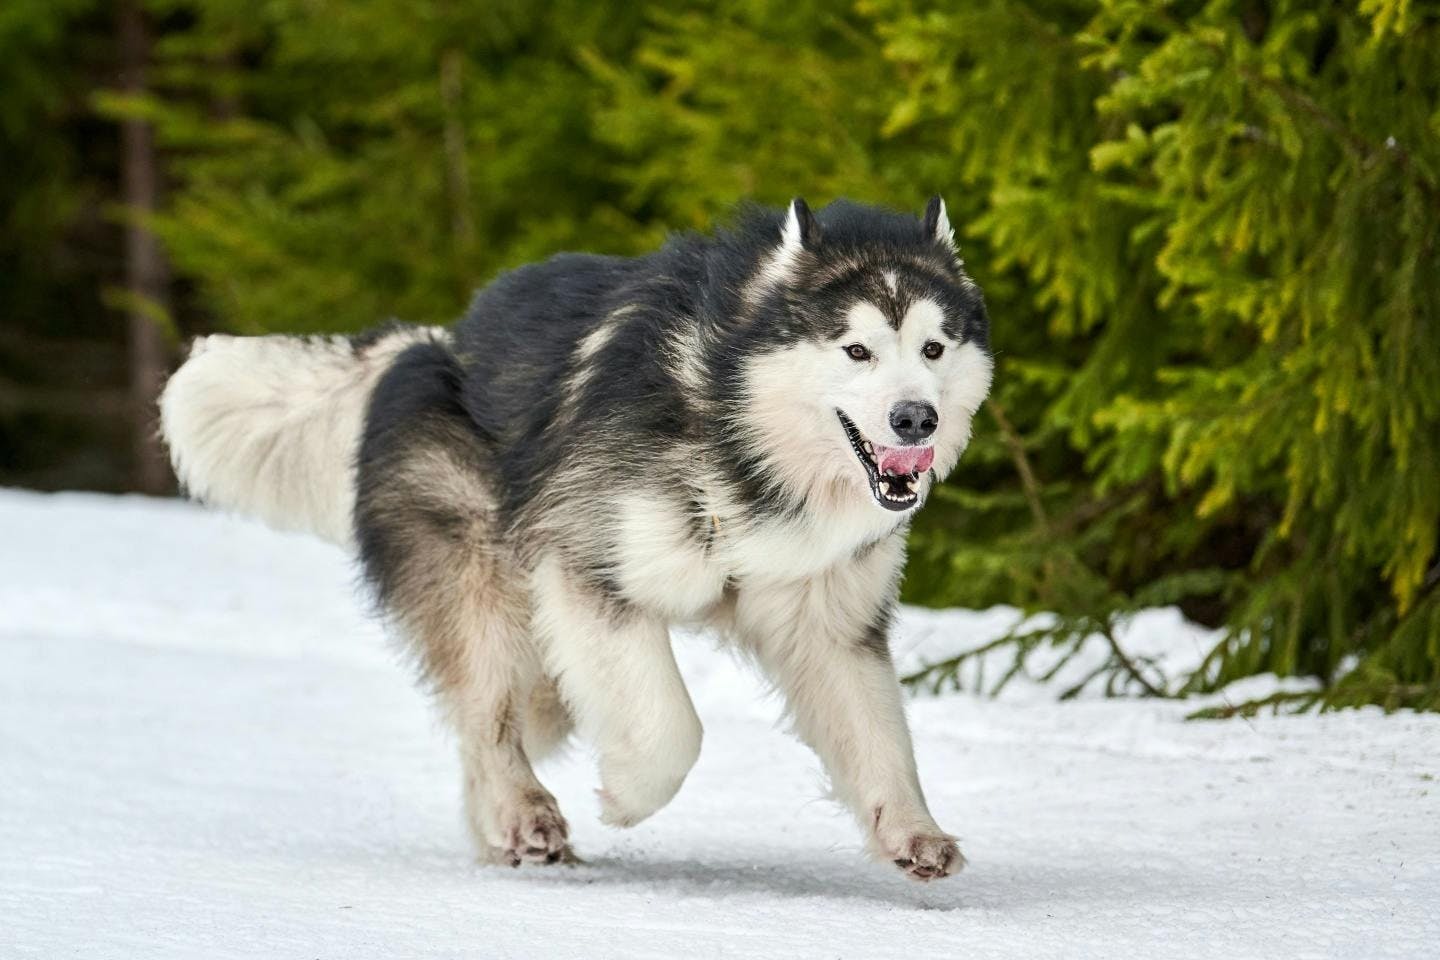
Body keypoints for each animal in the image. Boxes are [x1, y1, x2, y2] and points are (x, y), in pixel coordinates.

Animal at [157, 195, 990, 880]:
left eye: (934, 349)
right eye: (856, 350)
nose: (916, 418)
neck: (731, 424)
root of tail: (431, 341)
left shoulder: (828, 619)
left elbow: (879, 737)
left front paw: (911, 830)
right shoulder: (588, 570)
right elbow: (671, 730)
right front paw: (627, 797)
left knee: (504, 716)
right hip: (484, 580)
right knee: (489, 713)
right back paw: (520, 813)